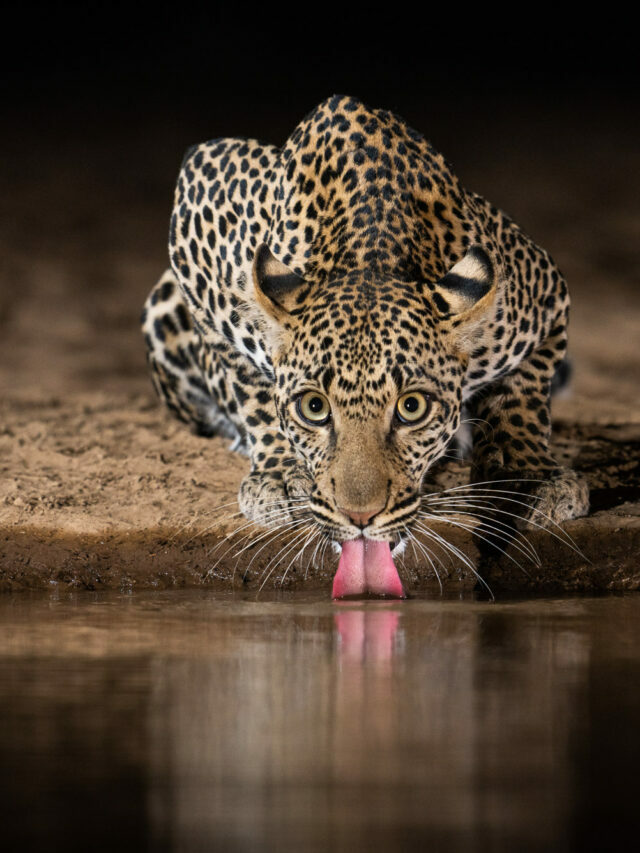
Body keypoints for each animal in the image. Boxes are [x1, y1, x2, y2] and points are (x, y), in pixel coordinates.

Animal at [141, 93, 592, 596]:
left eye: (412, 408)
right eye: (313, 408)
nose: (360, 517)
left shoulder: (545, 291)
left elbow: (524, 397)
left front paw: (531, 475)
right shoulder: (200, 208)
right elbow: (247, 382)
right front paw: (281, 474)